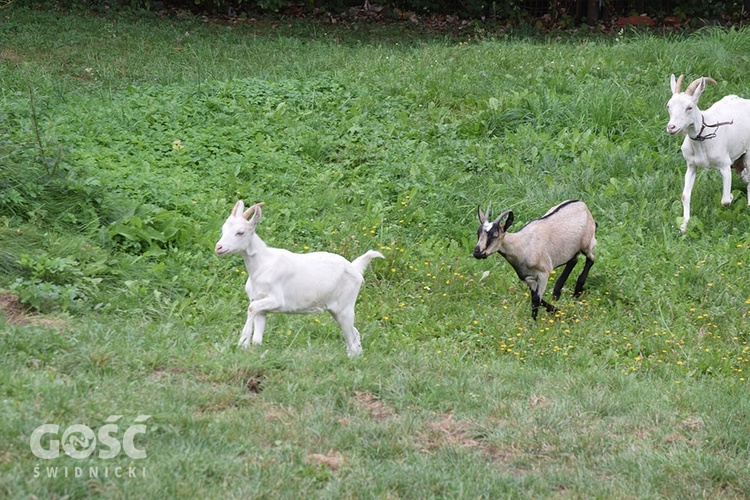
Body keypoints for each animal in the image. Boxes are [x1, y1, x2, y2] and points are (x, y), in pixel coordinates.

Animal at [668, 73, 750, 233]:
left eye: (689, 107)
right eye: (668, 106)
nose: (671, 127)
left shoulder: (725, 166)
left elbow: (725, 201)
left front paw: (731, 196)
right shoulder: (691, 166)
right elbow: (685, 196)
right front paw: (684, 225)